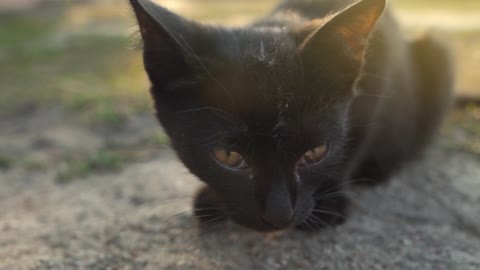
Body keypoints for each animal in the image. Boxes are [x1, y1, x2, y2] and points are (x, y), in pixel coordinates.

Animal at [129, 0, 452, 232]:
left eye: (316, 152)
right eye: (228, 156)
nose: (279, 215)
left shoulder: (379, 73)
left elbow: (355, 143)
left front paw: (330, 202)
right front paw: (212, 198)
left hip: (436, 51)